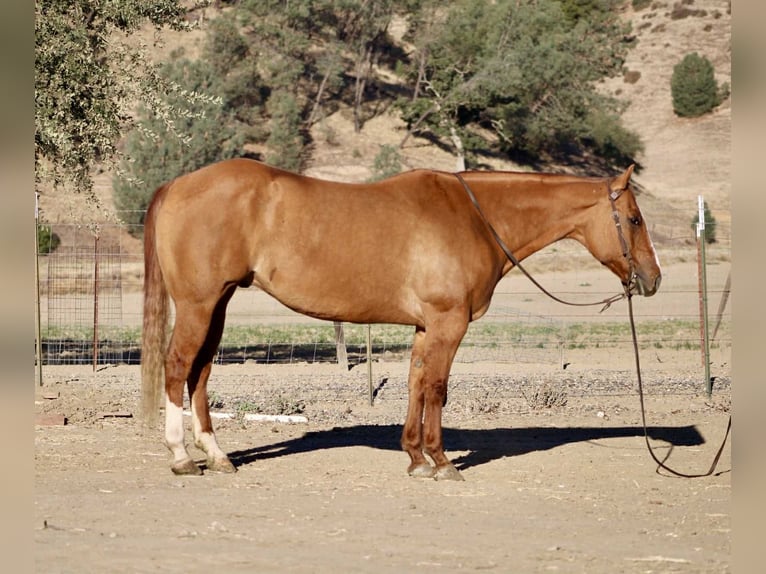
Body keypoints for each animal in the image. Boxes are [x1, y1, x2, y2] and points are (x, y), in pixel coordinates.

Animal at [141, 158, 661, 480]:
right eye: (635, 219)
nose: (652, 279)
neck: (474, 217)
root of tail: (178, 185)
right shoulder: (450, 323)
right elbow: (438, 388)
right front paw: (442, 460)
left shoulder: (426, 327)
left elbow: (416, 384)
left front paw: (415, 457)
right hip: (199, 304)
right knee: (178, 368)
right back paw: (182, 457)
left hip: (218, 304)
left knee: (200, 373)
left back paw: (218, 456)